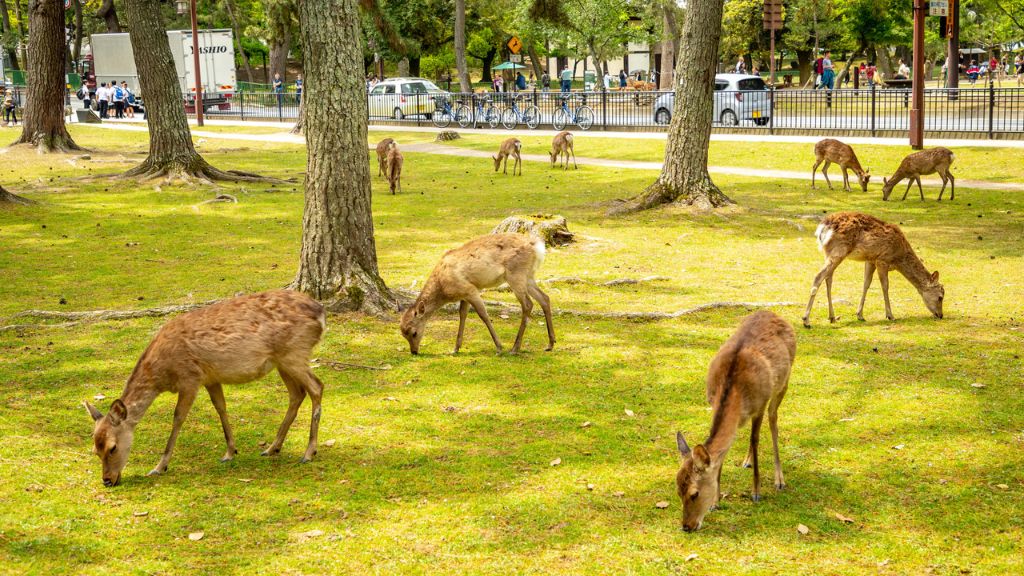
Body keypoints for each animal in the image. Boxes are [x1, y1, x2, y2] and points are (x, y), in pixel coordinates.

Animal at [82, 286, 323, 483]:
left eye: (112, 447)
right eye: (95, 449)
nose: (107, 480)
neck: (162, 373)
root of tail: (320, 314)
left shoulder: (190, 378)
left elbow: (178, 418)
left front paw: (160, 467)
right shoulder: (211, 378)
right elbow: (221, 408)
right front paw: (230, 452)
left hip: (295, 352)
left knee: (316, 387)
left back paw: (308, 453)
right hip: (281, 361)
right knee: (297, 394)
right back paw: (272, 448)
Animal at [401, 230, 557, 352]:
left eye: (414, 333)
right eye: (403, 334)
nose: (414, 351)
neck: (444, 289)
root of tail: (538, 247)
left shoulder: (470, 289)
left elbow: (483, 315)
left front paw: (499, 347)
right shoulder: (464, 295)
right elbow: (462, 315)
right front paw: (455, 348)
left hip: (515, 275)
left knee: (528, 304)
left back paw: (515, 348)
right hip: (528, 275)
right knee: (545, 298)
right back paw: (550, 344)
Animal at [675, 309, 794, 528]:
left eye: (695, 494)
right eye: (678, 490)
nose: (687, 526)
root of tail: (772, 312)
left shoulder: (759, 405)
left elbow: (755, 439)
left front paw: (756, 493)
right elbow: (723, 452)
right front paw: (716, 502)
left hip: (783, 383)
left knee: (773, 420)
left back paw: (779, 480)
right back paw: (746, 461)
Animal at [798, 211, 942, 327]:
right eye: (941, 297)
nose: (940, 315)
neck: (898, 258)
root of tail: (823, 228)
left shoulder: (870, 260)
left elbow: (866, 284)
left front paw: (860, 315)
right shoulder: (882, 259)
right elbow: (885, 286)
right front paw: (890, 315)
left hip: (828, 252)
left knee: (828, 279)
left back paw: (832, 317)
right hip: (839, 250)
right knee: (818, 276)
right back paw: (806, 320)